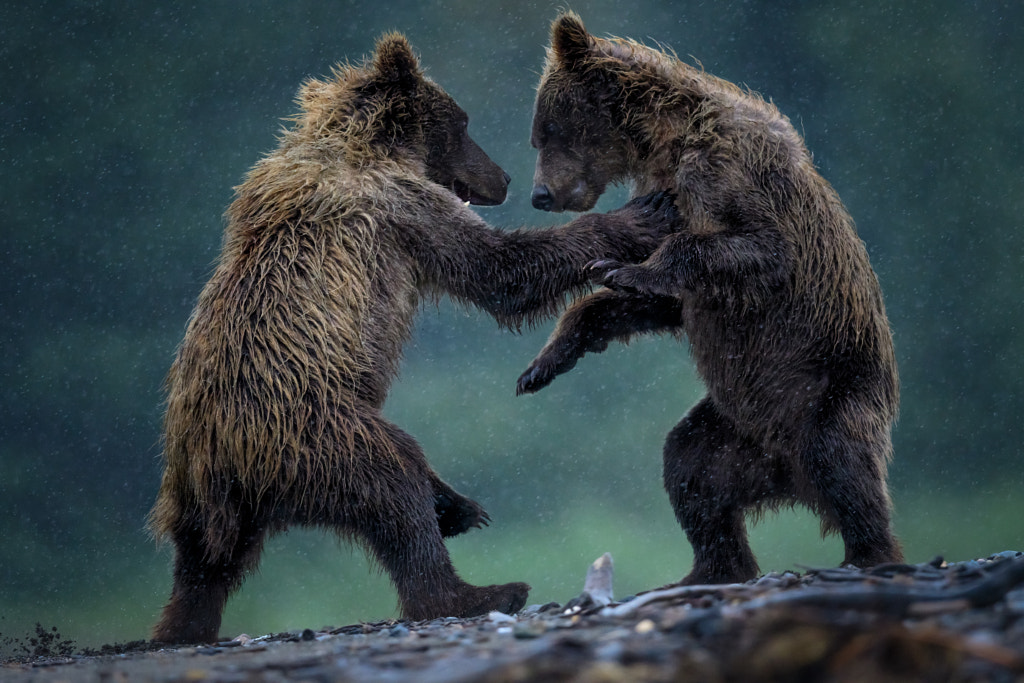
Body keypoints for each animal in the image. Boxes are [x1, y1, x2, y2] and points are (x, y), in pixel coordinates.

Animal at [149, 31, 679, 643]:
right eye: (464, 121)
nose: (504, 178)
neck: (360, 147)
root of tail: (218, 466)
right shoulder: (402, 208)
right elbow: (500, 269)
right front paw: (640, 215)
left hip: (202, 494)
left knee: (203, 569)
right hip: (310, 428)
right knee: (392, 485)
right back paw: (479, 589)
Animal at [520, 13, 905, 585]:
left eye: (547, 131)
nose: (539, 194)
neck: (664, 141)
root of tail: (787, 477)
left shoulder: (726, 171)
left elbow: (758, 249)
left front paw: (623, 269)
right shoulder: (666, 195)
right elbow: (665, 305)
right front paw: (546, 361)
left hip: (831, 389)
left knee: (842, 462)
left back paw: (870, 553)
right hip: (731, 429)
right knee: (691, 471)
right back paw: (709, 567)